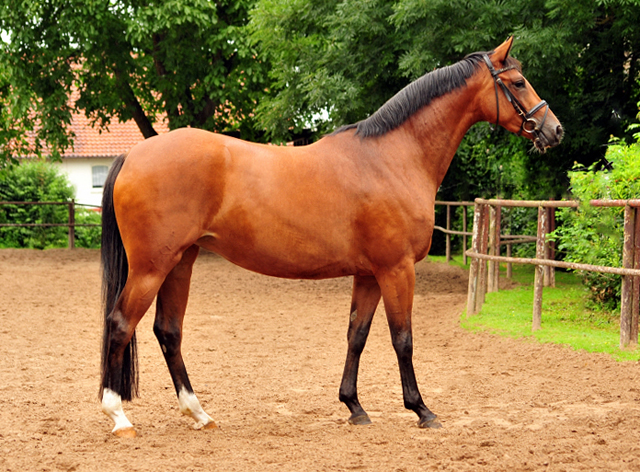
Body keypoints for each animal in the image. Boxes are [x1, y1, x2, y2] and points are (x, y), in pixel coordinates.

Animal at [99, 37, 560, 438]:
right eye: (518, 81)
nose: (554, 130)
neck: (392, 157)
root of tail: (133, 155)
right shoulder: (397, 270)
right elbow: (403, 339)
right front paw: (421, 410)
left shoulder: (370, 274)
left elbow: (357, 335)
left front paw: (354, 406)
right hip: (152, 267)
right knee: (121, 324)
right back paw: (119, 417)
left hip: (181, 261)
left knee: (168, 331)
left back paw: (199, 413)